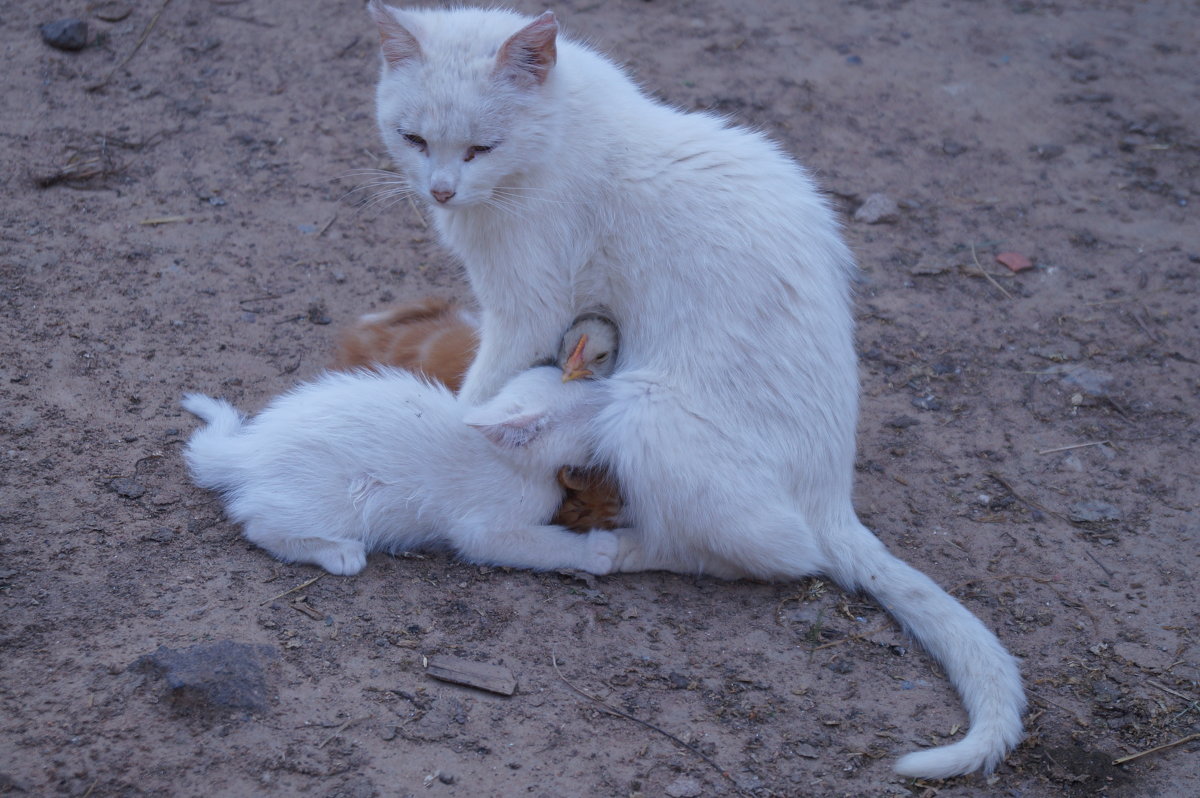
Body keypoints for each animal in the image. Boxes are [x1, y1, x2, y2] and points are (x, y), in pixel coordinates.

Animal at [184, 316, 619, 573]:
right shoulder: (482, 529)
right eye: (592, 409)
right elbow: (543, 544)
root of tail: (251, 447)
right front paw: (599, 551)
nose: (616, 393)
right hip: (330, 499)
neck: (512, 463)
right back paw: (338, 552)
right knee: (258, 524)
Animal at [369, 1, 1027, 777]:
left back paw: (615, 546)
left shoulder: (528, 307)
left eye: (481, 147)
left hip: (643, 412)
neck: (556, 140)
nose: (440, 189)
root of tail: (833, 499)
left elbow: (478, 395)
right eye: (413, 138)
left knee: (765, 555)